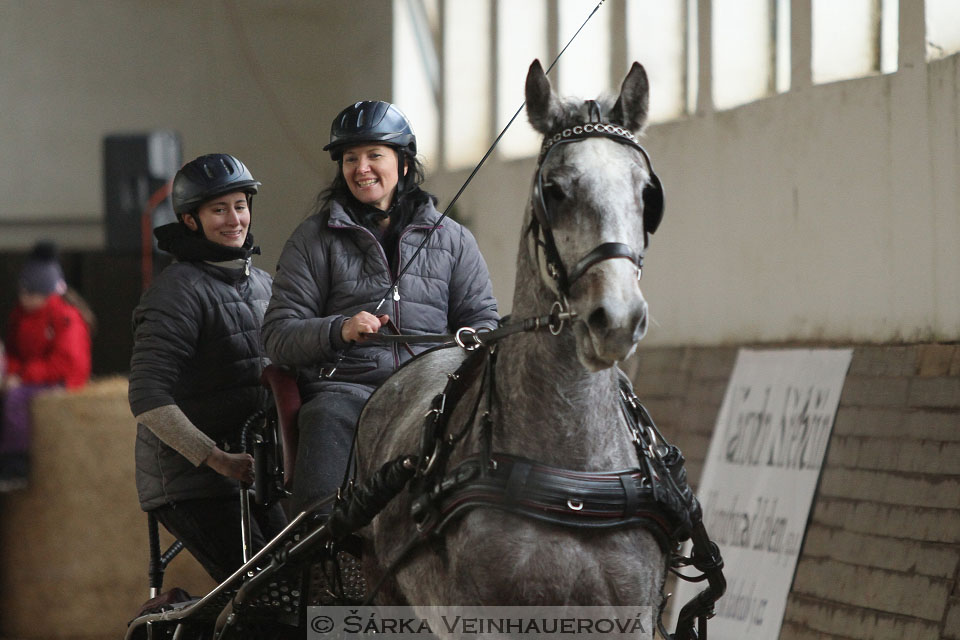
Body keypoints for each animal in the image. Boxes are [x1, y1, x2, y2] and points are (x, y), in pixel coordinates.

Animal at [354, 58, 668, 632]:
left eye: (646, 194)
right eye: (555, 190)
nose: (617, 318)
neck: (573, 484)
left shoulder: (630, 616)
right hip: (389, 600)